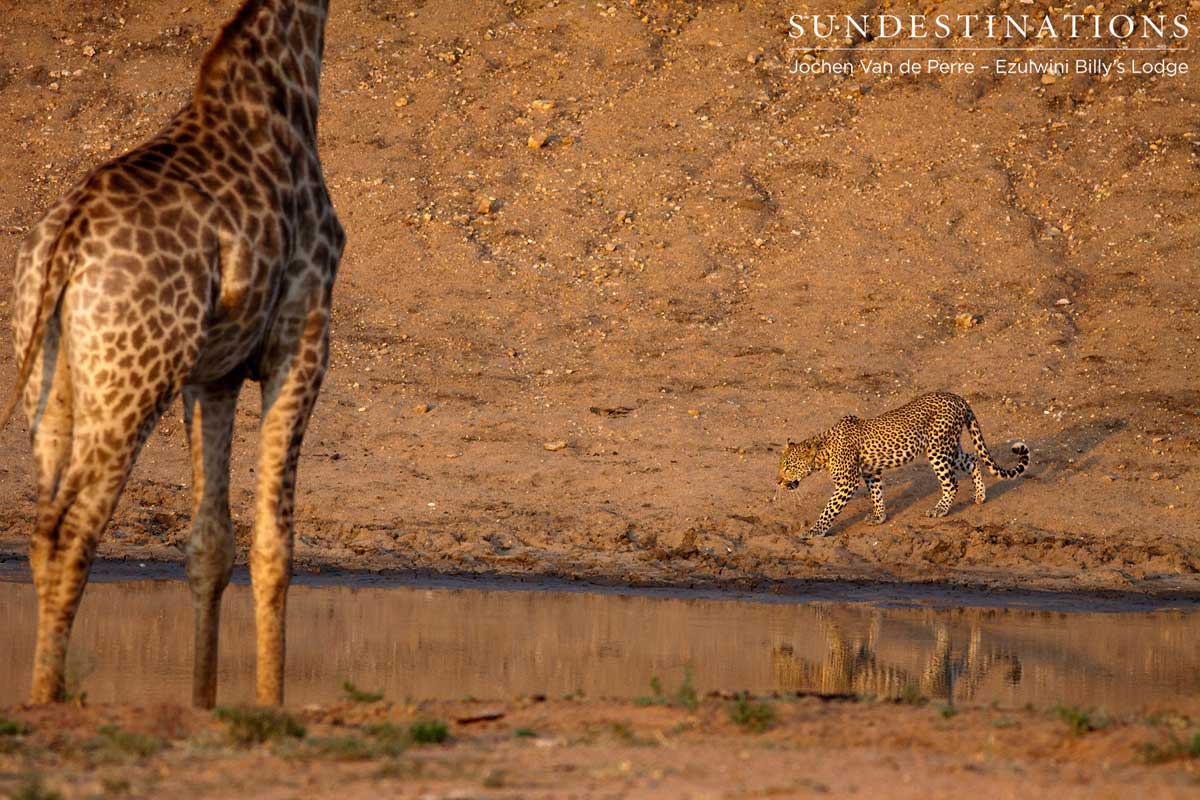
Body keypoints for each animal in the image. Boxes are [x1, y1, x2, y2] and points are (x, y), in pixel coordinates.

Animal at [1, 0, 344, 706]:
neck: (285, 86)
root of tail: (67, 243)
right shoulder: (302, 341)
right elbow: (273, 547)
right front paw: (270, 707)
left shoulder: (213, 376)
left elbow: (209, 545)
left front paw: (204, 704)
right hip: (132, 387)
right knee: (70, 532)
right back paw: (49, 701)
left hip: (51, 388)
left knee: (41, 531)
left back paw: (43, 694)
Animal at [776, 392, 1029, 538]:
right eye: (780, 465)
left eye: (788, 466)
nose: (777, 481)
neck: (824, 452)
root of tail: (956, 397)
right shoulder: (871, 472)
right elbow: (876, 494)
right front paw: (879, 517)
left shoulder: (848, 482)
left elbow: (830, 509)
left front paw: (815, 531)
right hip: (949, 447)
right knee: (973, 460)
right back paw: (979, 497)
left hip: (937, 449)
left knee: (952, 483)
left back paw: (940, 510)